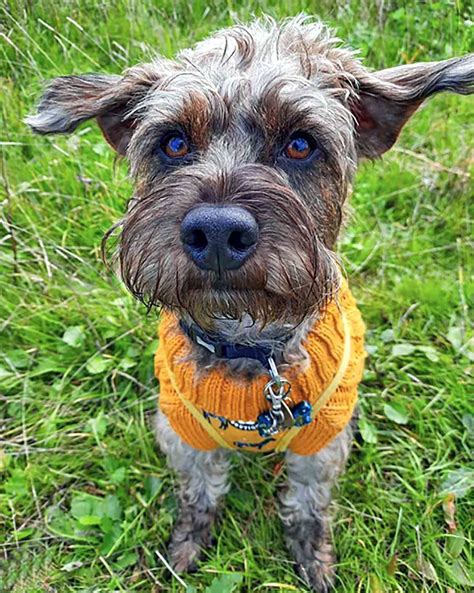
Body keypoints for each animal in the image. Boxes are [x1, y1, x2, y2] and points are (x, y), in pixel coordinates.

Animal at [27, 17, 472, 592]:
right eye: (173, 143)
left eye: (301, 144)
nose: (217, 232)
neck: (248, 348)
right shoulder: (183, 431)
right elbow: (200, 492)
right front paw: (186, 546)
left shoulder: (321, 440)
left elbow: (307, 501)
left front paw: (313, 557)